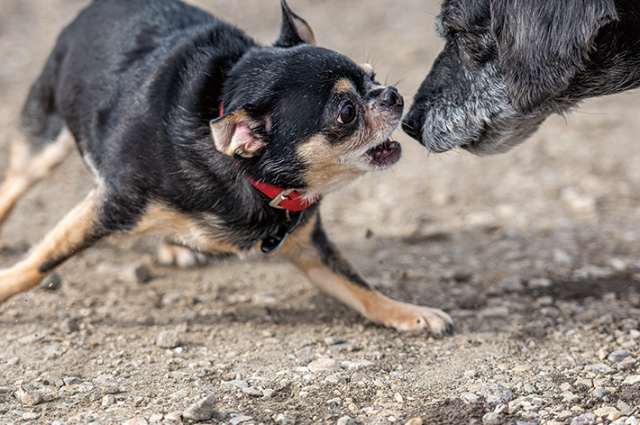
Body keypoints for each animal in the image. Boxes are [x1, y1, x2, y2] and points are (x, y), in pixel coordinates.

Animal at [0, 0, 450, 332]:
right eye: (346, 113)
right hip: (44, 142)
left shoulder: (307, 244)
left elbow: (356, 284)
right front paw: (4, 286)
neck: (249, 175)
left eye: (373, 77)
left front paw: (409, 312)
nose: (393, 94)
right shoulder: (110, 206)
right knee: (13, 186)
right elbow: (40, 264)